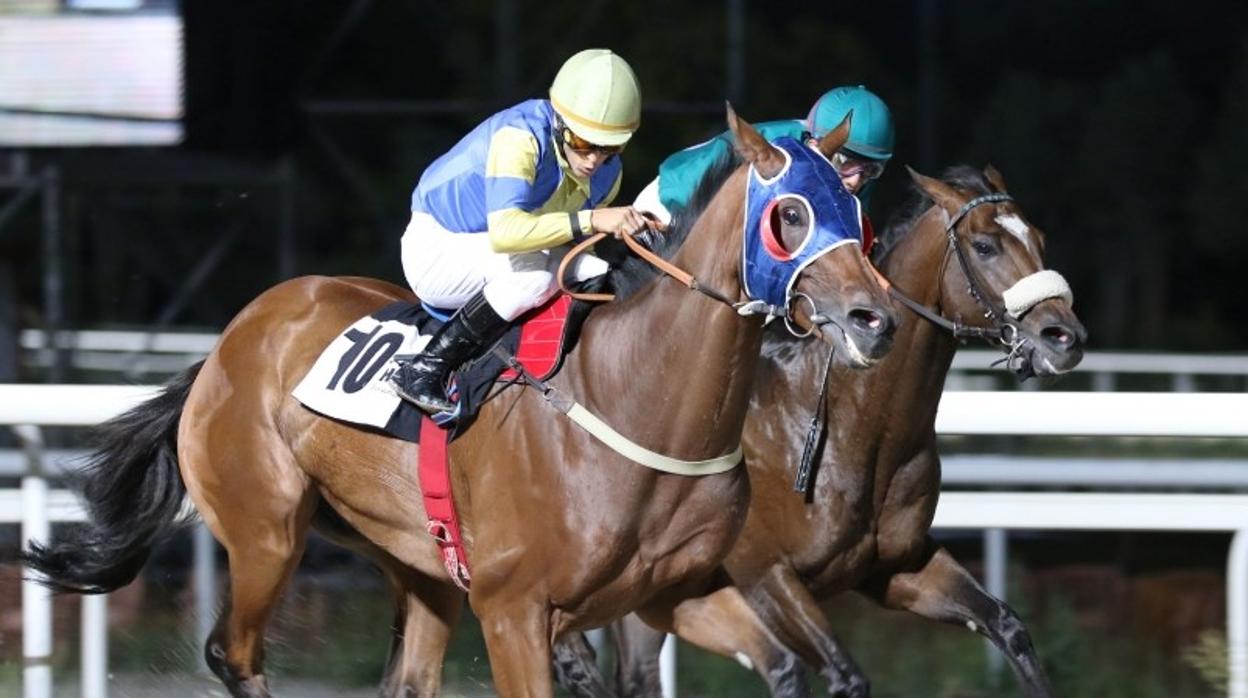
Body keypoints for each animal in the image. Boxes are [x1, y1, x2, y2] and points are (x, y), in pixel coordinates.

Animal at [19, 109, 898, 698]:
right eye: (790, 214)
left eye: (859, 215)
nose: (873, 319)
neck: (640, 399)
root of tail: (228, 343)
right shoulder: (515, 611)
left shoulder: (677, 592)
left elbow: (780, 659)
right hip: (266, 529)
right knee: (232, 654)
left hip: (417, 562)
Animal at [561, 164, 1088, 698]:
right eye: (984, 246)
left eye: (1038, 238)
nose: (1066, 338)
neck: (857, 425)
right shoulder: (764, 575)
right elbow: (843, 674)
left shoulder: (897, 567)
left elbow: (1007, 625)